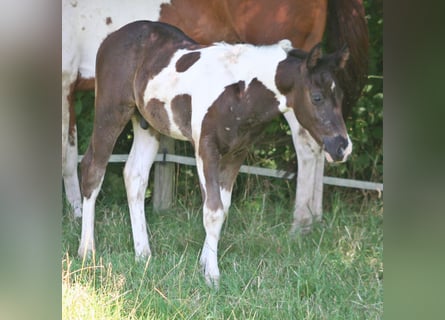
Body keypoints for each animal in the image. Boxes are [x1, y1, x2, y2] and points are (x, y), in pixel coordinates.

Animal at [79, 20, 350, 284]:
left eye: (340, 95)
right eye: (317, 97)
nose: (342, 148)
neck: (241, 92)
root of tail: (111, 38)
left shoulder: (236, 152)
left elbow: (223, 206)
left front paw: (203, 263)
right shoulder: (205, 147)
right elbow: (213, 210)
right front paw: (212, 276)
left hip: (148, 125)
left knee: (134, 176)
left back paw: (143, 254)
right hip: (111, 111)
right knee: (92, 169)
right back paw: (87, 250)